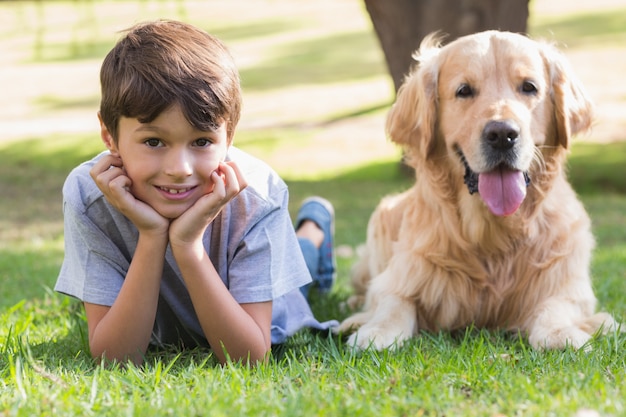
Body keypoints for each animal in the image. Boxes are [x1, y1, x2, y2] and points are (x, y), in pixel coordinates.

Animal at [336, 29, 616, 350]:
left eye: (529, 87)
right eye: (464, 90)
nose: (502, 134)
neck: (493, 236)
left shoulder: (564, 279)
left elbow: (555, 305)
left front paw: (562, 333)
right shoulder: (406, 273)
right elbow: (393, 301)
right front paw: (374, 330)